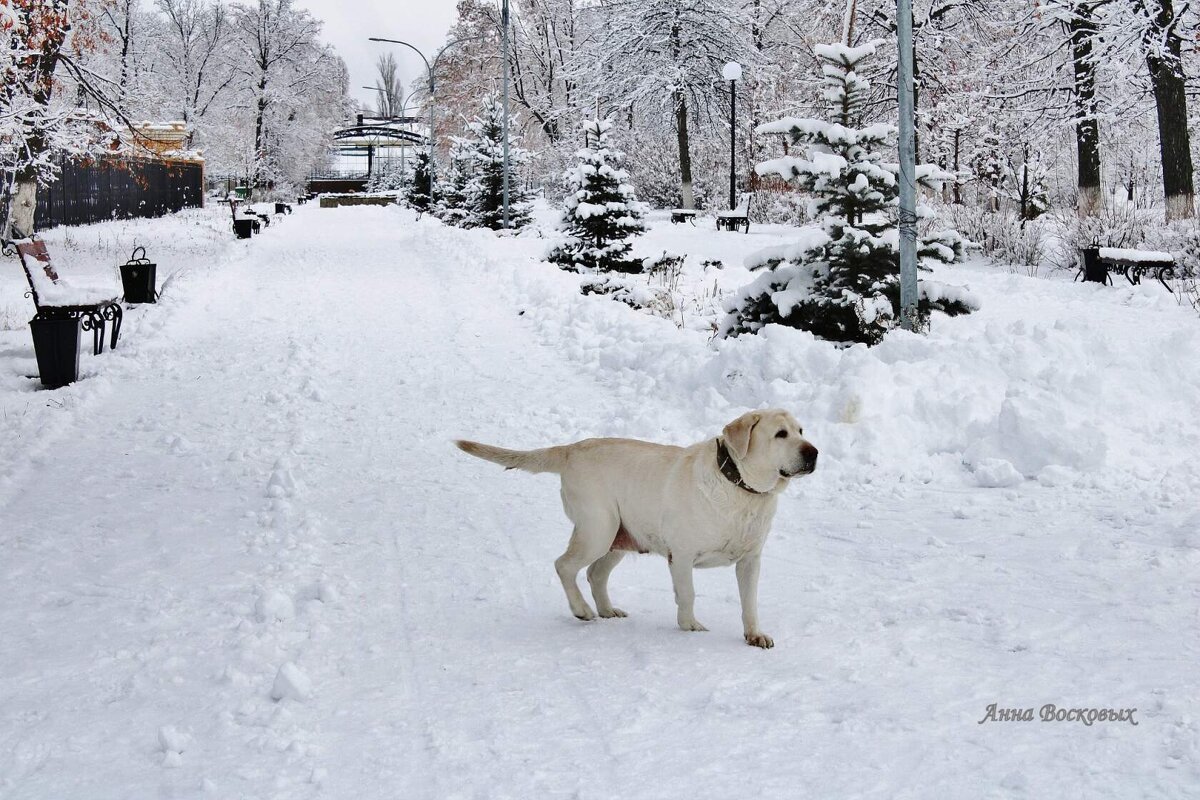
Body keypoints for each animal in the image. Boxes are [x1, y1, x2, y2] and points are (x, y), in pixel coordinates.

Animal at [456, 410, 816, 647]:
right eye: (780, 434)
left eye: (801, 430)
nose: (813, 452)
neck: (740, 488)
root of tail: (571, 449)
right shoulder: (681, 555)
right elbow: (688, 594)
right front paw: (690, 626)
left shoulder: (750, 561)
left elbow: (750, 601)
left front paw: (754, 634)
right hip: (597, 529)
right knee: (564, 566)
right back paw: (582, 610)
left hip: (619, 536)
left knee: (595, 574)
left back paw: (606, 609)